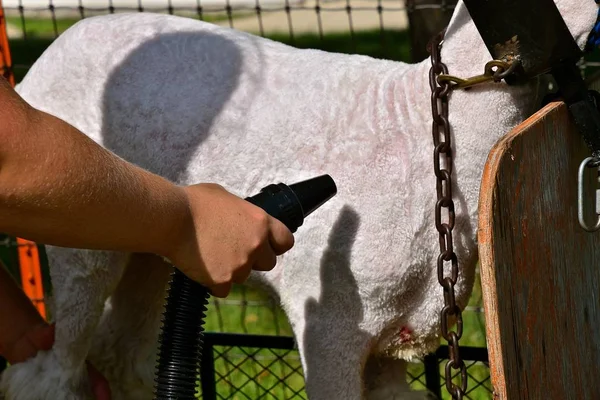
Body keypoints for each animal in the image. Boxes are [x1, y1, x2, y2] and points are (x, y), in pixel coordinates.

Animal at [1, 0, 596, 398]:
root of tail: (54, 50)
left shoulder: (392, 334)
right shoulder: (331, 319)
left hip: (153, 236)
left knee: (118, 350)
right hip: (81, 232)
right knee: (55, 368)